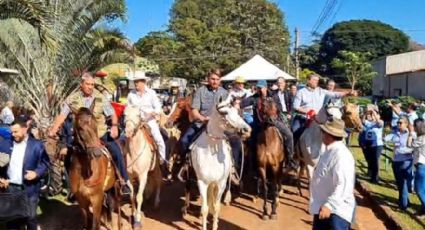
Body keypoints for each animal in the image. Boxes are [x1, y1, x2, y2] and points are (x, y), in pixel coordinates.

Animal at [190, 99, 252, 230]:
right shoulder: (202, 182)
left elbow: (216, 207)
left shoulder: (221, 183)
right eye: (225, 113)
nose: (246, 130)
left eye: (237, 112)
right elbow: (205, 209)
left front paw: (215, 225)